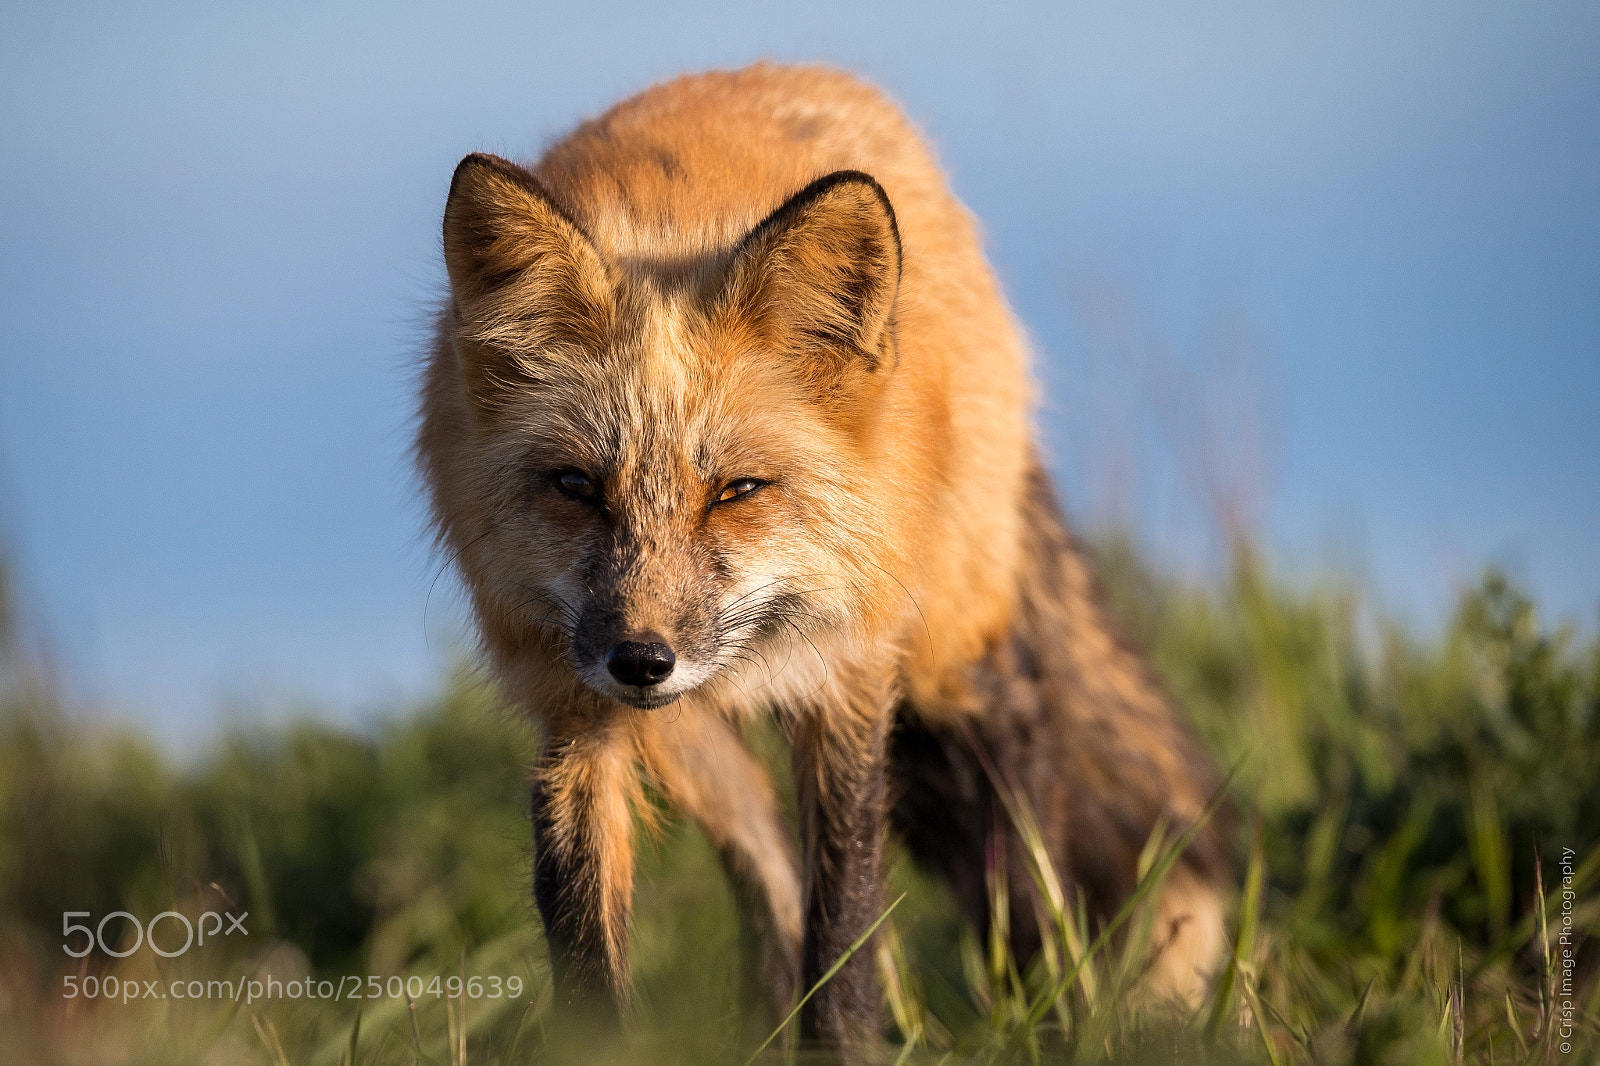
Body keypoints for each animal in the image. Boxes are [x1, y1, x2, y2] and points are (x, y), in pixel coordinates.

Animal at [417, 62, 1231, 1059]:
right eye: (577, 486)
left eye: (737, 490)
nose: (642, 660)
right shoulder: (574, 715)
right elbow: (586, 940)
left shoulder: (848, 678)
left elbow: (845, 927)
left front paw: (844, 1041)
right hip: (693, 748)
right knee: (768, 865)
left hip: (950, 646)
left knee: (1017, 784)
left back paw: (1044, 1002)